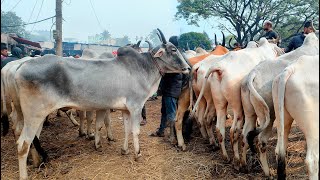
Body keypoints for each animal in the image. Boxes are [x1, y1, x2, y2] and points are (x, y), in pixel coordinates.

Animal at [13, 28, 190, 179]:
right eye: (173, 50)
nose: (188, 68)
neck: (143, 68)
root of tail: (21, 66)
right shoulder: (136, 107)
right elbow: (135, 131)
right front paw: (137, 153)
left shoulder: (125, 110)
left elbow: (126, 130)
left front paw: (124, 150)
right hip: (35, 115)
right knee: (23, 144)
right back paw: (24, 174)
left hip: (33, 116)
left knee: (29, 140)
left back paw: (37, 162)